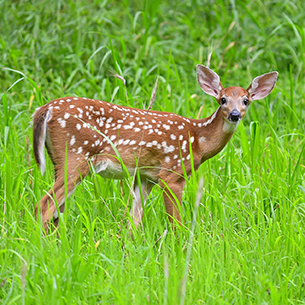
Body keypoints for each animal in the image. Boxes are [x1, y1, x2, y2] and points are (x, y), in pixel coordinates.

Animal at [33, 64, 278, 230]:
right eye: (223, 100)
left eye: (246, 100)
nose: (235, 114)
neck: (198, 140)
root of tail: (44, 109)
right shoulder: (171, 174)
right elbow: (176, 223)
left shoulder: (146, 176)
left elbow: (134, 222)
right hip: (76, 155)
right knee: (44, 206)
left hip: (58, 160)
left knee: (56, 211)